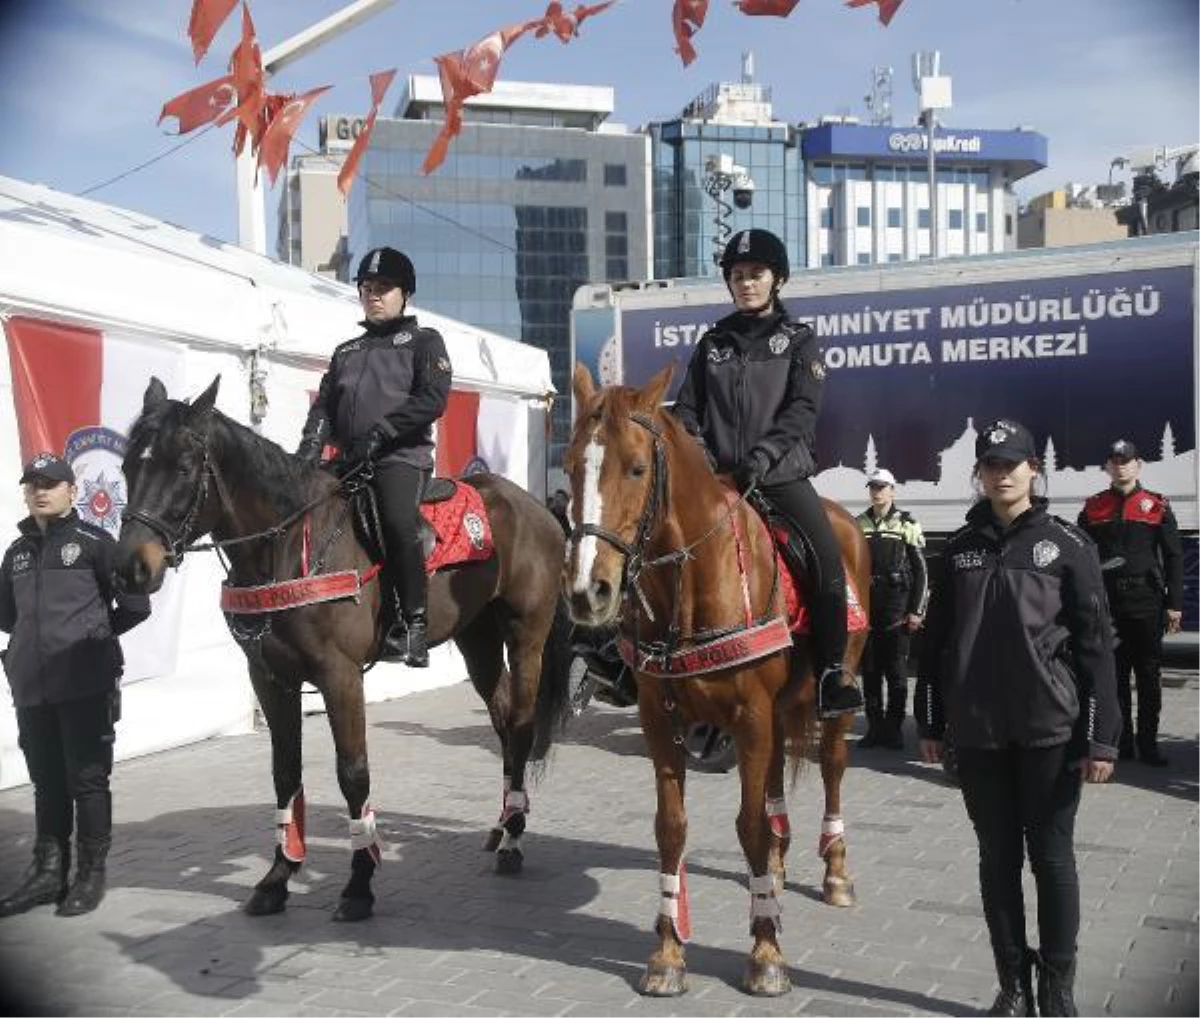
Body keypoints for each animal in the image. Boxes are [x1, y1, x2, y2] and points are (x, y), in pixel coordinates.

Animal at [114, 379, 573, 921]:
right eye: (128, 465)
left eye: (184, 468)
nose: (131, 567)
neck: (288, 546)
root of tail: (538, 509)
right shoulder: (270, 678)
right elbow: (284, 772)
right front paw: (278, 876)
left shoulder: (340, 675)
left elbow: (353, 773)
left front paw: (359, 882)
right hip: (477, 638)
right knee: (502, 720)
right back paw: (502, 824)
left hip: (526, 637)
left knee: (520, 726)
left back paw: (514, 839)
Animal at [566, 364, 868, 993]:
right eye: (570, 463)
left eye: (637, 467)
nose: (588, 591)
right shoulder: (662, 721)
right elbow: (671, 827)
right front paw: (667, 953)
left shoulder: (749, 717)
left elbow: (748, 825)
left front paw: (767, 952)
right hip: (777, 711)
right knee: (776, 783)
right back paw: (775, 869)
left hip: (836, 695)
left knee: (831, 767)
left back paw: (834, 871)